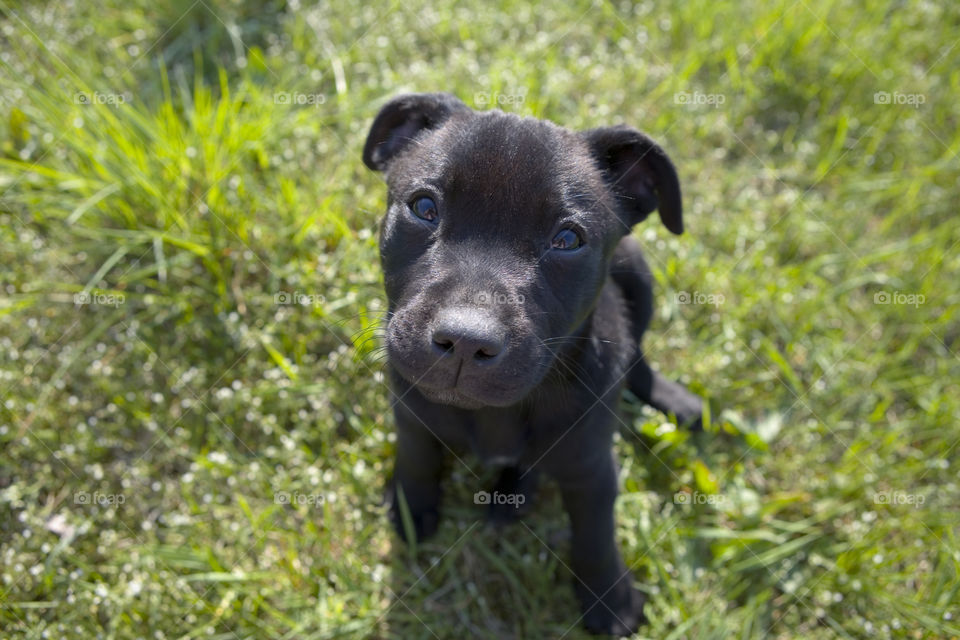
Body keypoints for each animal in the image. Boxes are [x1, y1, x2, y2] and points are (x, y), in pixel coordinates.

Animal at [364, 94, 700, 636]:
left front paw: (609, 599)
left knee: (640, 353)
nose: (465, 341)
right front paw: (412, 512)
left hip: (637, 272)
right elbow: (415, 458)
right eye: (424, 208)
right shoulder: (411, 411)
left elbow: (595, 534)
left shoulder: (591, 466)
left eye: (567, 239)